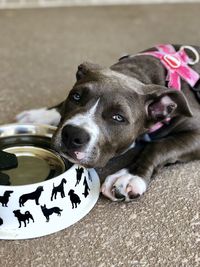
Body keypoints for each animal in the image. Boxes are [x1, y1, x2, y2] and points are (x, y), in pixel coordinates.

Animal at [16, 44, 200, 203]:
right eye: (76, 96)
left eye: (118, 117)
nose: (73, 134)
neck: (136, 72)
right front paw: (41, 115)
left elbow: (159, 146)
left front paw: (129, 175)